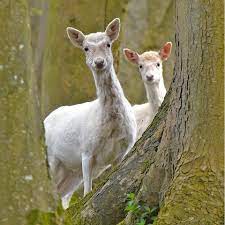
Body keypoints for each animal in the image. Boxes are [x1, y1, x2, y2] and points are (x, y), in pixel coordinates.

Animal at [43, 18, 136, 209]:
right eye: (86, 48)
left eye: (108, 44)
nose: (99, 62)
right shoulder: (86, 150)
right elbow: (87, 192)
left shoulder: (124, 149)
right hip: (52, 161)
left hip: (71, 173)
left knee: (62, 194)